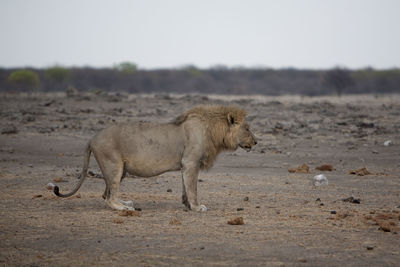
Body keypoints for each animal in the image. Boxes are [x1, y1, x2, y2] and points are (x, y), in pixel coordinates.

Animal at [54, 105, 256, 213]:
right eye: (247, 128)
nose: (256, 141)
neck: (213, 131)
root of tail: (92, 138)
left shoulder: (185, 165)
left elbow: (186, 188)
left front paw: (187, 206)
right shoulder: (191, 163)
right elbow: (193, 188)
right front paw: (198, 207)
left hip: (119, 170)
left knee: (106, 194)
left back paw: (126, 203)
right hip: (114, 166)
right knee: (109, 197)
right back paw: (125, 208)